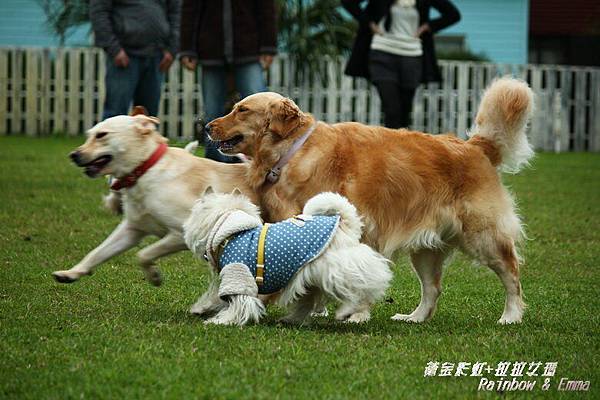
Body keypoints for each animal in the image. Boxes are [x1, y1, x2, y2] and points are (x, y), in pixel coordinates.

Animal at [52, 114, 255, 286]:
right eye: (89, 135)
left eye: (102, 135)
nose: (73, 155)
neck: (145, 170)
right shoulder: (131, 229)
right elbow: (97, 252)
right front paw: (71, 273)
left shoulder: (181, 234)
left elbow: (143, 254)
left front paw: (154, 276)